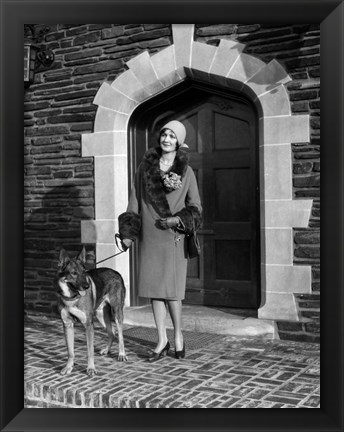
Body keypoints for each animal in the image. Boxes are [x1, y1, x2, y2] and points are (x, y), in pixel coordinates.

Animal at [56, 246, 127, 374]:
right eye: (74, 273)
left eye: (84, 272)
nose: (87, 286)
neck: (72, 298)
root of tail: (116, 272)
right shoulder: (67, 325)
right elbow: (70, 352)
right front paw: (68, 367)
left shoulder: (88, 325)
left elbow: (90, 351)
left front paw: (91, 368)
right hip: (100, 315)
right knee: (112, 332)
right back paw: (106, 350)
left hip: (117, 312)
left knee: (120, 335)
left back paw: (122, 354)